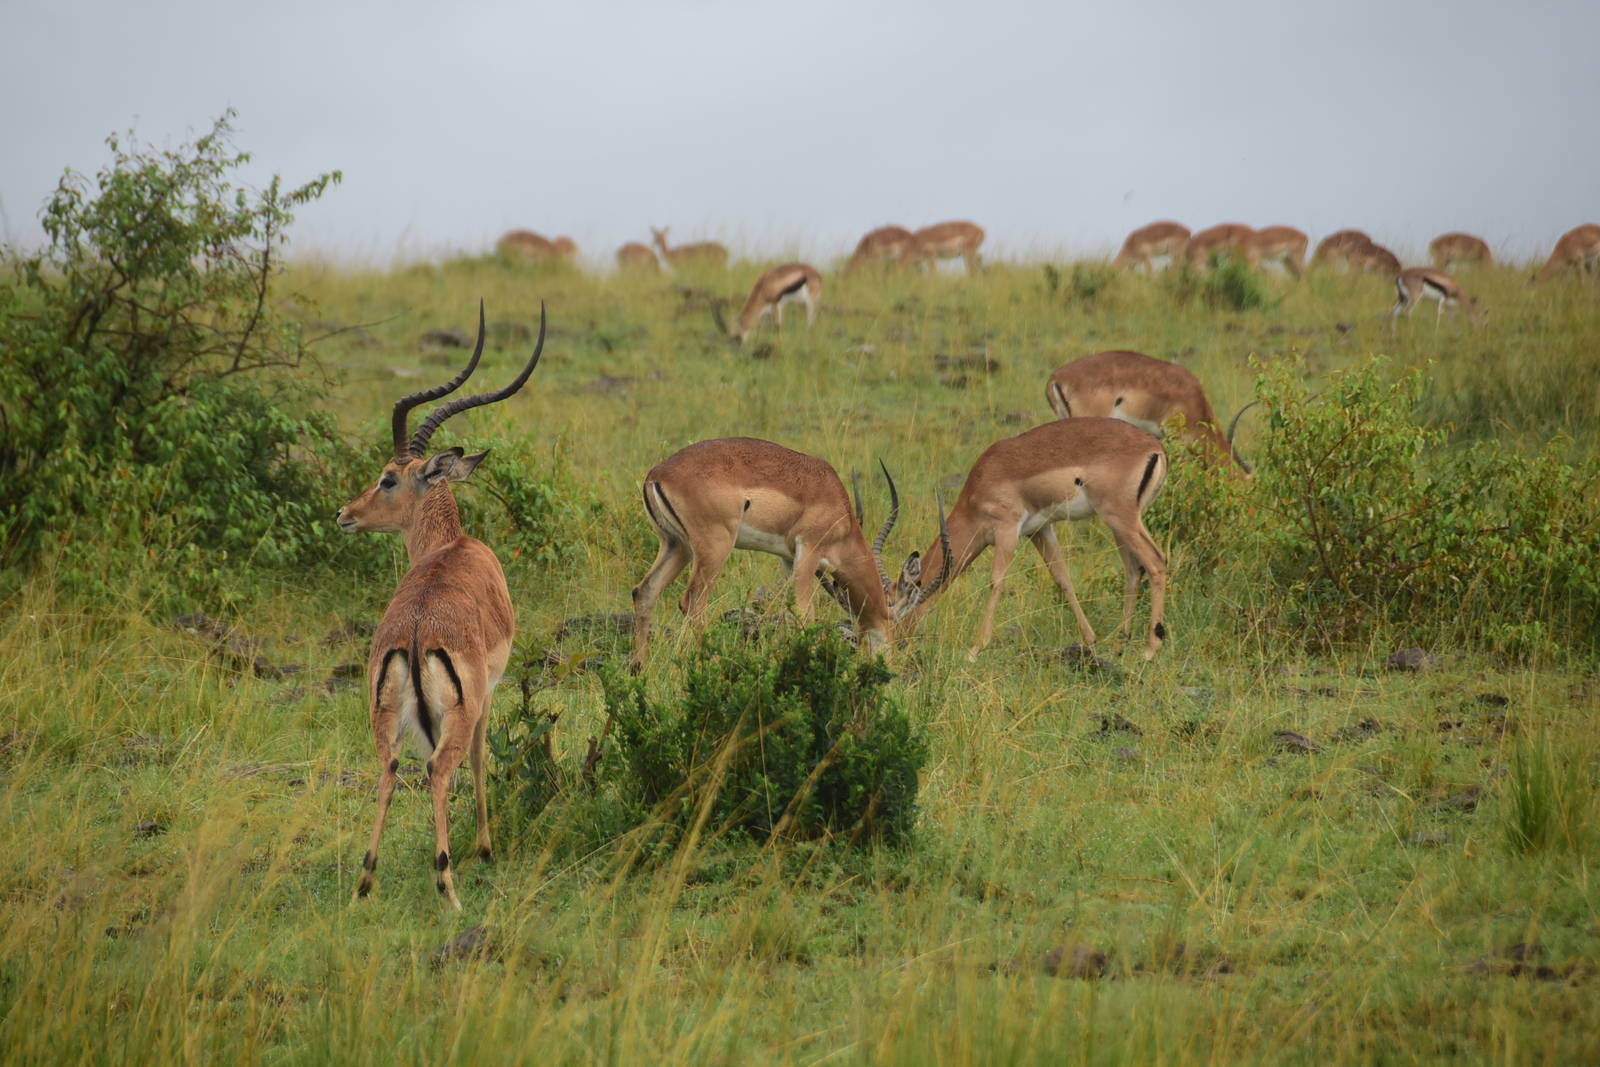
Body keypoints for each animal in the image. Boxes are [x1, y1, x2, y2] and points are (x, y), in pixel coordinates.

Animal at [337, 302, 547, 910]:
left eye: (387, 478)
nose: (344, 514)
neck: (450, 546)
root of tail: (413, 635)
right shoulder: (489, 693)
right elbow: (481, 758)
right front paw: (485, 848)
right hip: (458, 713)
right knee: (439, 768)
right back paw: (448, 886)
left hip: (382, 718)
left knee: (389, 768)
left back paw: (365, 883)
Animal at [629, 438, 907, 672]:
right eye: (892, 621)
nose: (891, 666)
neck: (841, 513)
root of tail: (655, 475)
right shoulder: (809, 551)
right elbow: (805, 613)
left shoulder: (789, 558)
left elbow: (788, 613)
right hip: (714, 549)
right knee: (692, 602)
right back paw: (720, 665)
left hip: (677, 546)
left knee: (644, 591)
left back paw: (639, 669)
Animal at [887, 418, 1170, 662]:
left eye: (892, 606)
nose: (894, 643)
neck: (980, 486)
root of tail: (1155, 449)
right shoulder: (1040, 531)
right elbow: (1062, 578)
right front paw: (1089, 639)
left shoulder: (1007, 529)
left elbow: (997, 581)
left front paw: (975, 649)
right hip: (1118, 525)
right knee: (1134, 569)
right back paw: (1122, 638)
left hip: (1121, 518)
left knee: (1157, 562)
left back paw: (1150, 649)